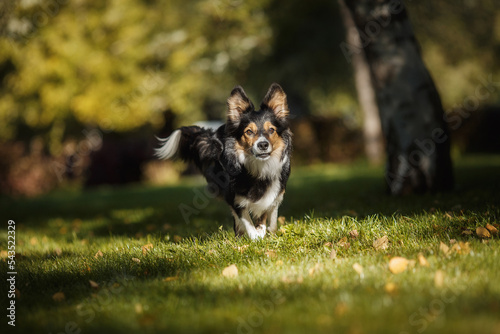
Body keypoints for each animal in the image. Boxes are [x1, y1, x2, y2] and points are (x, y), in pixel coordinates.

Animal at [154, 83, 292, 240]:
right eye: (249, 132)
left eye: (271, 130)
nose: (263, 144)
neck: (260, 166)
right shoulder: (233, 195)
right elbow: (245, 218)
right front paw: (255, 237)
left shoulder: (274, 192)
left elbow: (269, 216)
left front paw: (264, 231)